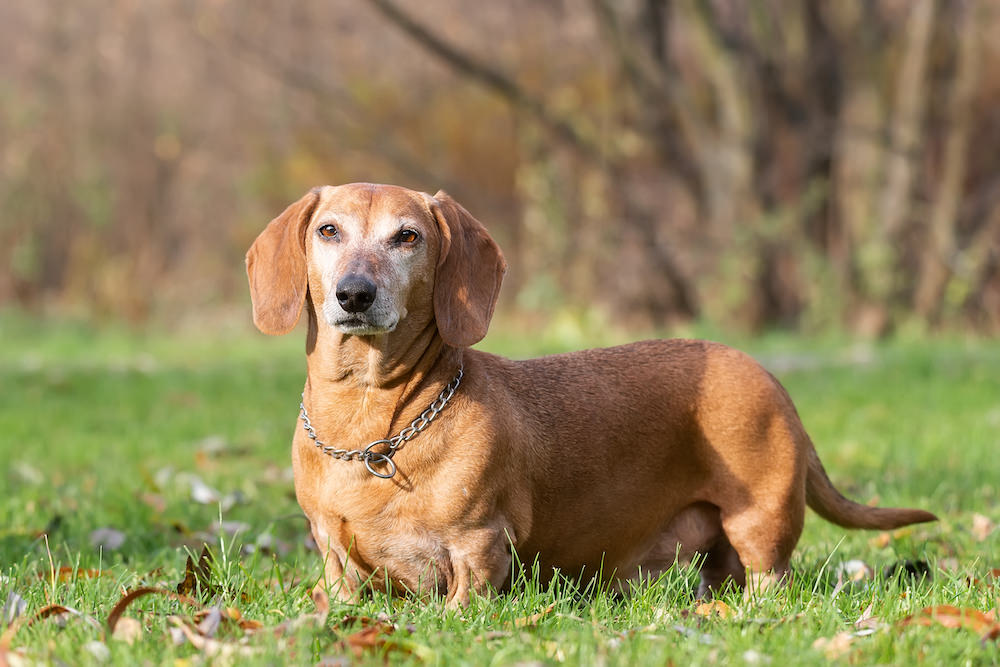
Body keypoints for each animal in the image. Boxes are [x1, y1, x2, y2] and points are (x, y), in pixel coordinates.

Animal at [248, 183, 936, 612]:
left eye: (408, 237)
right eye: (329, 231)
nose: (354, 294)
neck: (373, 423)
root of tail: (766, 373)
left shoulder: (477, 548)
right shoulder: (335, 560)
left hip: (761, 521)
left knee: (770, 577)